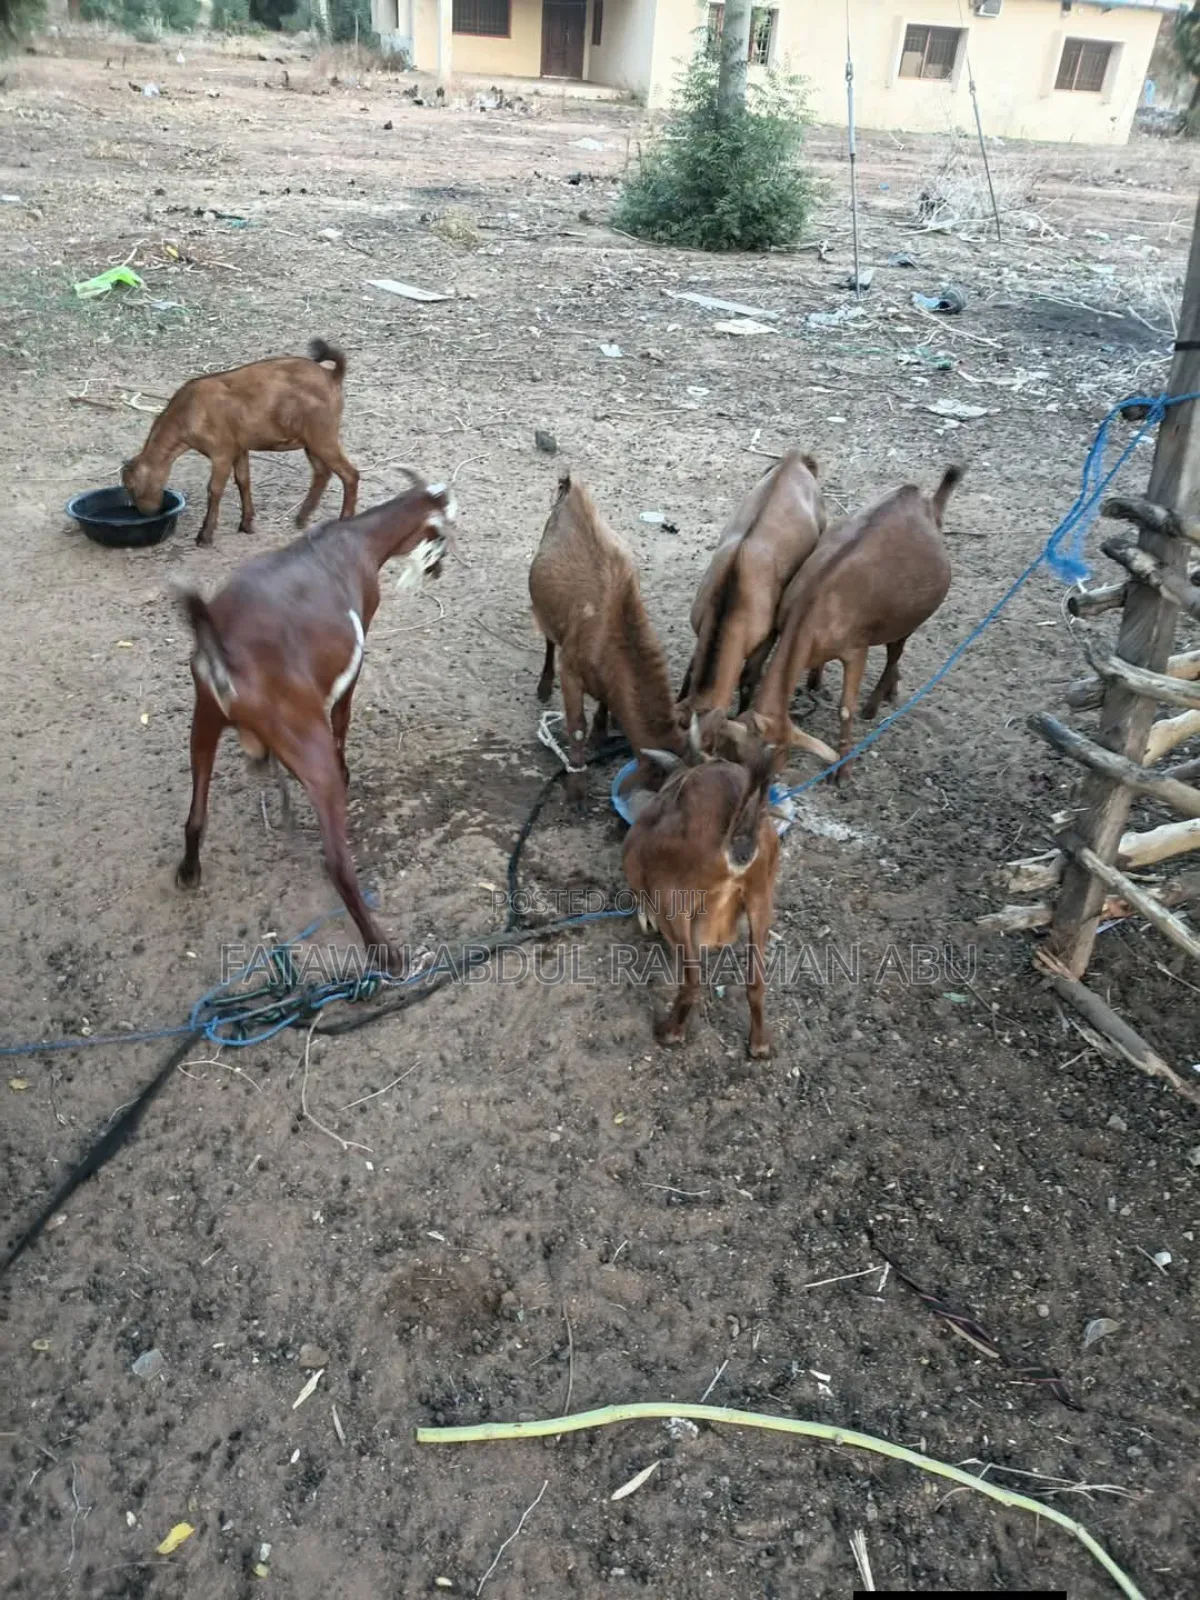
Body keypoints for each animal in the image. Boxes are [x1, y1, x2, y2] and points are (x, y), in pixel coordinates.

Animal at [122, 338, 359, 547]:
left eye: (132, 487)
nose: (147, 512)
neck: (189, 411)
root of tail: (332, 376)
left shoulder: (222, 453)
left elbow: (214, 489)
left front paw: (205, 535)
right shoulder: (240, 449)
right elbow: (243, 481)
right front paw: (246, 524)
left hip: (323, 435)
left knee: (350, 474)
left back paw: (344, 520)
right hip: (311, 440)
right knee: (322, 472)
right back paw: (301, 518)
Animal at [173, 474, 455, 972]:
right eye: (441, 531)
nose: (438, 568)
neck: (356, 541)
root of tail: (226, 657)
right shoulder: (357, 650)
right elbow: (342, 714)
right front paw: (349, 768)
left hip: (204, 718)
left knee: (195, 817)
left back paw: (189, 871)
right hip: (305, 742)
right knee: (338, 861)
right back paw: (385, 951)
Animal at [529, 473, 691, 804]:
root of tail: (572, 488)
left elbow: (604, 701)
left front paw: (601, 734)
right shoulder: (571, 670)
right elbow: (576, 726)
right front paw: (577, 789)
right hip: (544, 612)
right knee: (550, 641)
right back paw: (543, 686)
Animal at [623, 733, 780, 1057]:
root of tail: (739, 835)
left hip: (673, 904)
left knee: (692, 984)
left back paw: (669, 1032)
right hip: (761, 896)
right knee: (756, 983)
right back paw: (759, 1044)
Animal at [750, 466, 962, 781]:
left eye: (775, 748)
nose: (767, 780)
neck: (813, 609)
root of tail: (925, 502)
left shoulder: (856, 649)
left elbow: (845, 710)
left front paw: (842, 771)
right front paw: (814, 682)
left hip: (907, 621)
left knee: (894, 654)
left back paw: (874, 704)